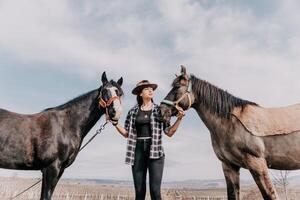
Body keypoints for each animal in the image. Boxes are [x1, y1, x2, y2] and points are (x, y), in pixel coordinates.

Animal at [0, 72, 123, 200]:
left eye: (119, 93)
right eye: (104, 91)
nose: (116, 112)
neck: (66, 125)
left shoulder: (60, 170)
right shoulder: (51, 168)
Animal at [161, 66, 298, 200]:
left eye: (177, 87)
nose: (161, 110)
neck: (230, 123)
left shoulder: (257, 163)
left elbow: (270, 195)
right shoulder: (229, 166)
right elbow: (232, 195)